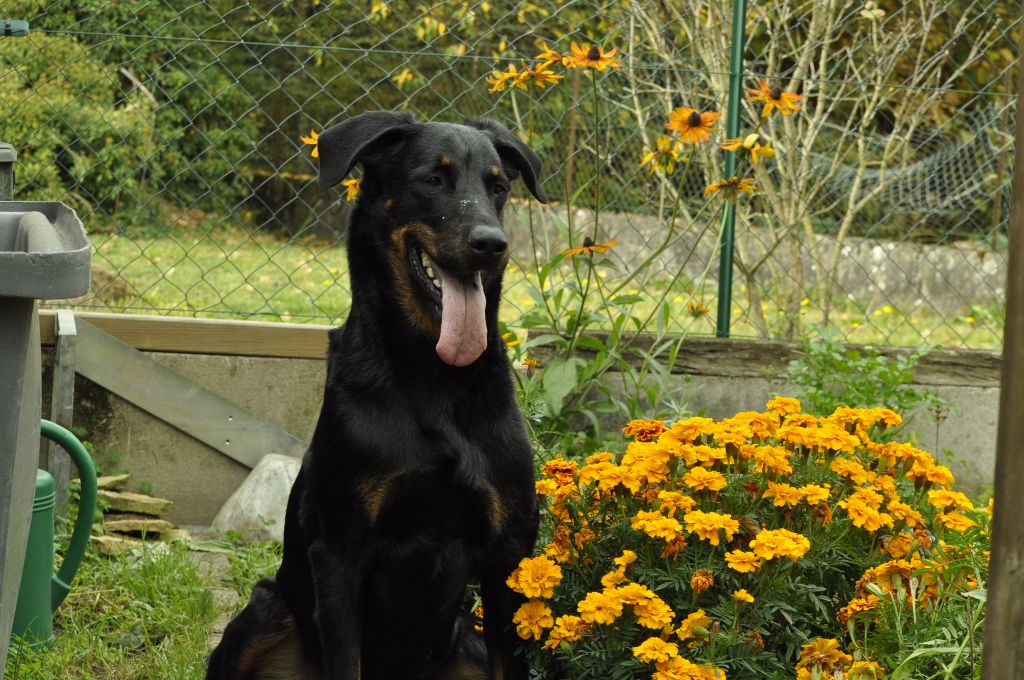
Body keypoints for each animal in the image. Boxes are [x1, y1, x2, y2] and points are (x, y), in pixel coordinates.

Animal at [202, 112, 548, 680]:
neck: (434, 375)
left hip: (467, 642)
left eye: (498, 187)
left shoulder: (508, 560)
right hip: (262, 614)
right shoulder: (342, 554)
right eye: (434, 179)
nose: (493, 243)